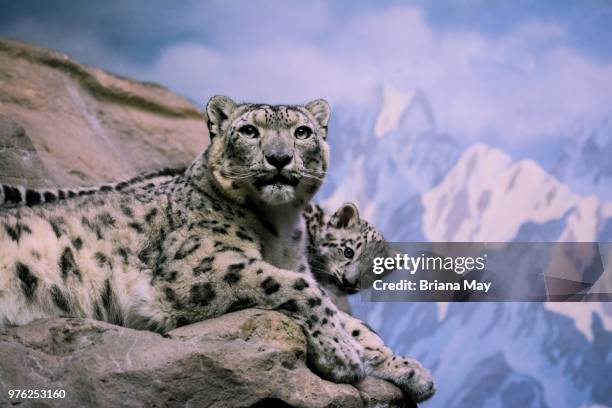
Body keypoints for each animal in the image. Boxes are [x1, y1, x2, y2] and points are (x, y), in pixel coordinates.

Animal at [0, 96, 432, 402]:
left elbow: (354, 322)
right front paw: (343, 354)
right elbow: (300, 289)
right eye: (249, 131)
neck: (283, 228)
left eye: (303, 132)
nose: (279, 158)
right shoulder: (201, 267)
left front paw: (410, 369)